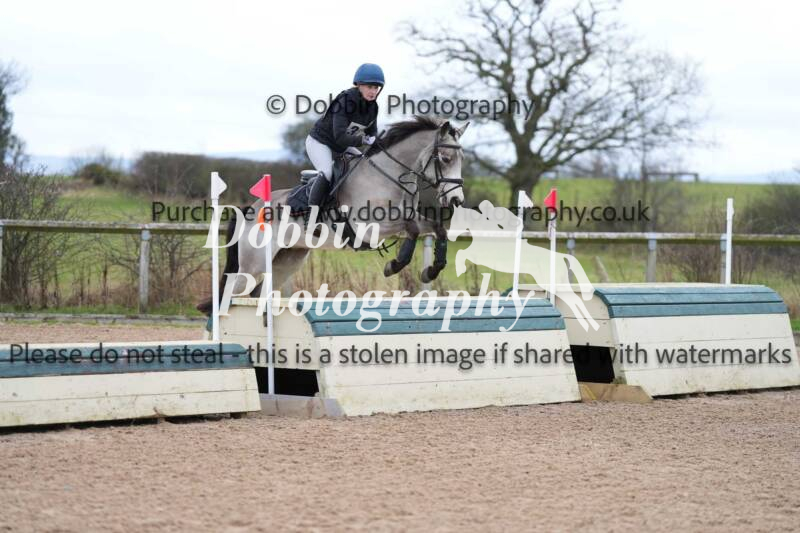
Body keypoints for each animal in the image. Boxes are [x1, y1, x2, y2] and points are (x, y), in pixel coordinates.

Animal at [198, 116, 468, 313]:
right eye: (445, 159)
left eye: (461, 159)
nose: (456, 200)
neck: (388, 175)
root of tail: (250, 210)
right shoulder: (369, 227)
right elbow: (411, 228)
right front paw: (394, 265)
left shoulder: (408, 217)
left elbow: (437, 227)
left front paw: (431, 270)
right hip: (253, 265)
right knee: (230, 292)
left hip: (286, 261)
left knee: (256, 294)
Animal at [447, 200, 600, 332]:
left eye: (455, 221)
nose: (450, 237)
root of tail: (559, 256)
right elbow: (462, 252)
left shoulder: (482, 256)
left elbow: (461, 253)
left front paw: (459, 268)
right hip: (557, 282)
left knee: (574, 300)